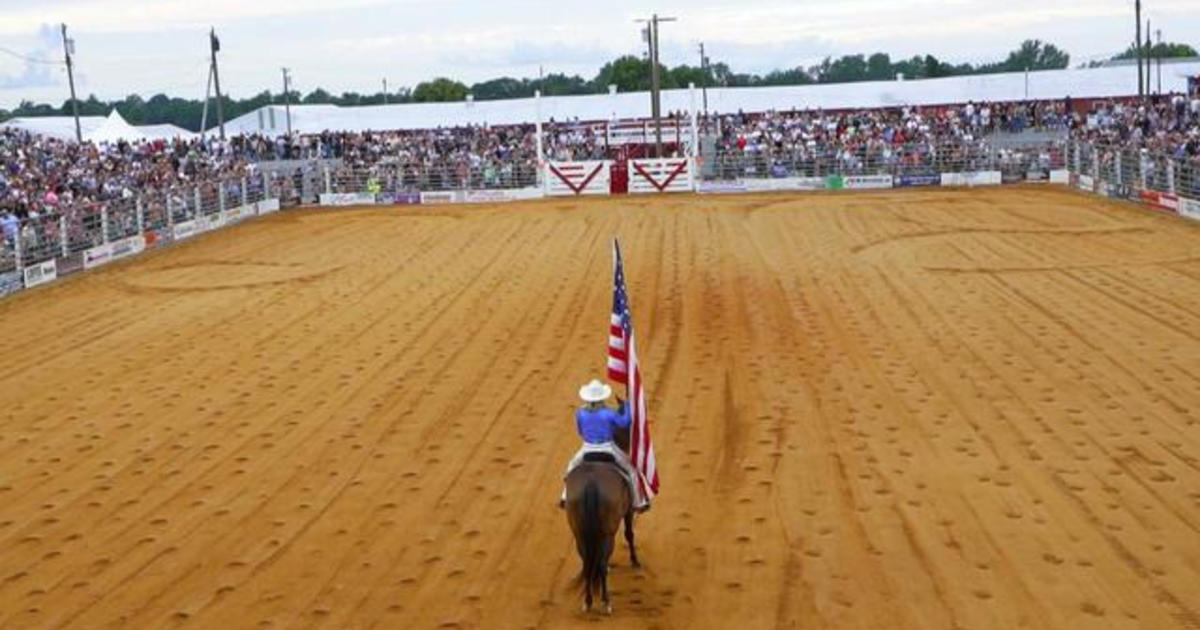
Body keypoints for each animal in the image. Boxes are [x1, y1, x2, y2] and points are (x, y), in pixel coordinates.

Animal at [568, 453, 643, 612]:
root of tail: (591, 484)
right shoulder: (628, 511)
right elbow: (629, 534)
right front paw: (635, 560)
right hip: (608, 535)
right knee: (601, 563)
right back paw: (606, 601)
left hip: (580, 535)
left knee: (587, 564)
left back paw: (588, 601)